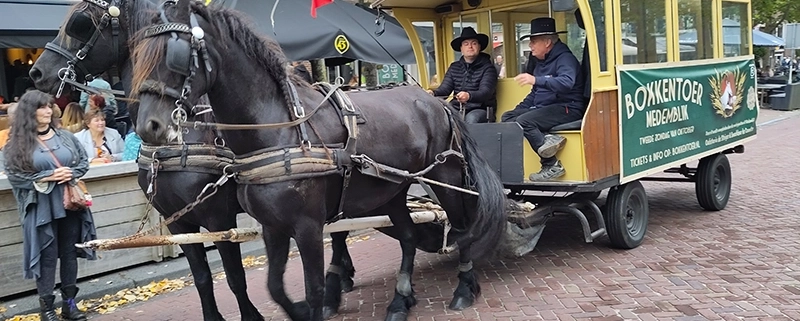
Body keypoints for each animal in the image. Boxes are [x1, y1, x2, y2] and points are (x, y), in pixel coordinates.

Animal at [28, 1, 354, 318]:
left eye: (80, 24)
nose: (37, 72)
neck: (183, 137)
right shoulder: (177, 222)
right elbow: (202, 278)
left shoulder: (217, 216)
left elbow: (234, 276)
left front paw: (253, 315)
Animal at [131, 1, 506, 318]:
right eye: (137, 56)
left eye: (176, 55)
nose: (149, 126)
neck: (277, 129)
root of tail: (436, 101)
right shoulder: (269, 226)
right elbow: (274, 287)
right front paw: (300, 309)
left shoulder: (301, 226)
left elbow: (309, 288)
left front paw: (321, 299)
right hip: (390, 191)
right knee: (410, 236)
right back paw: (400, 300)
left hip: (447, 178)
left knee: (461, 228)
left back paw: (464, 288)